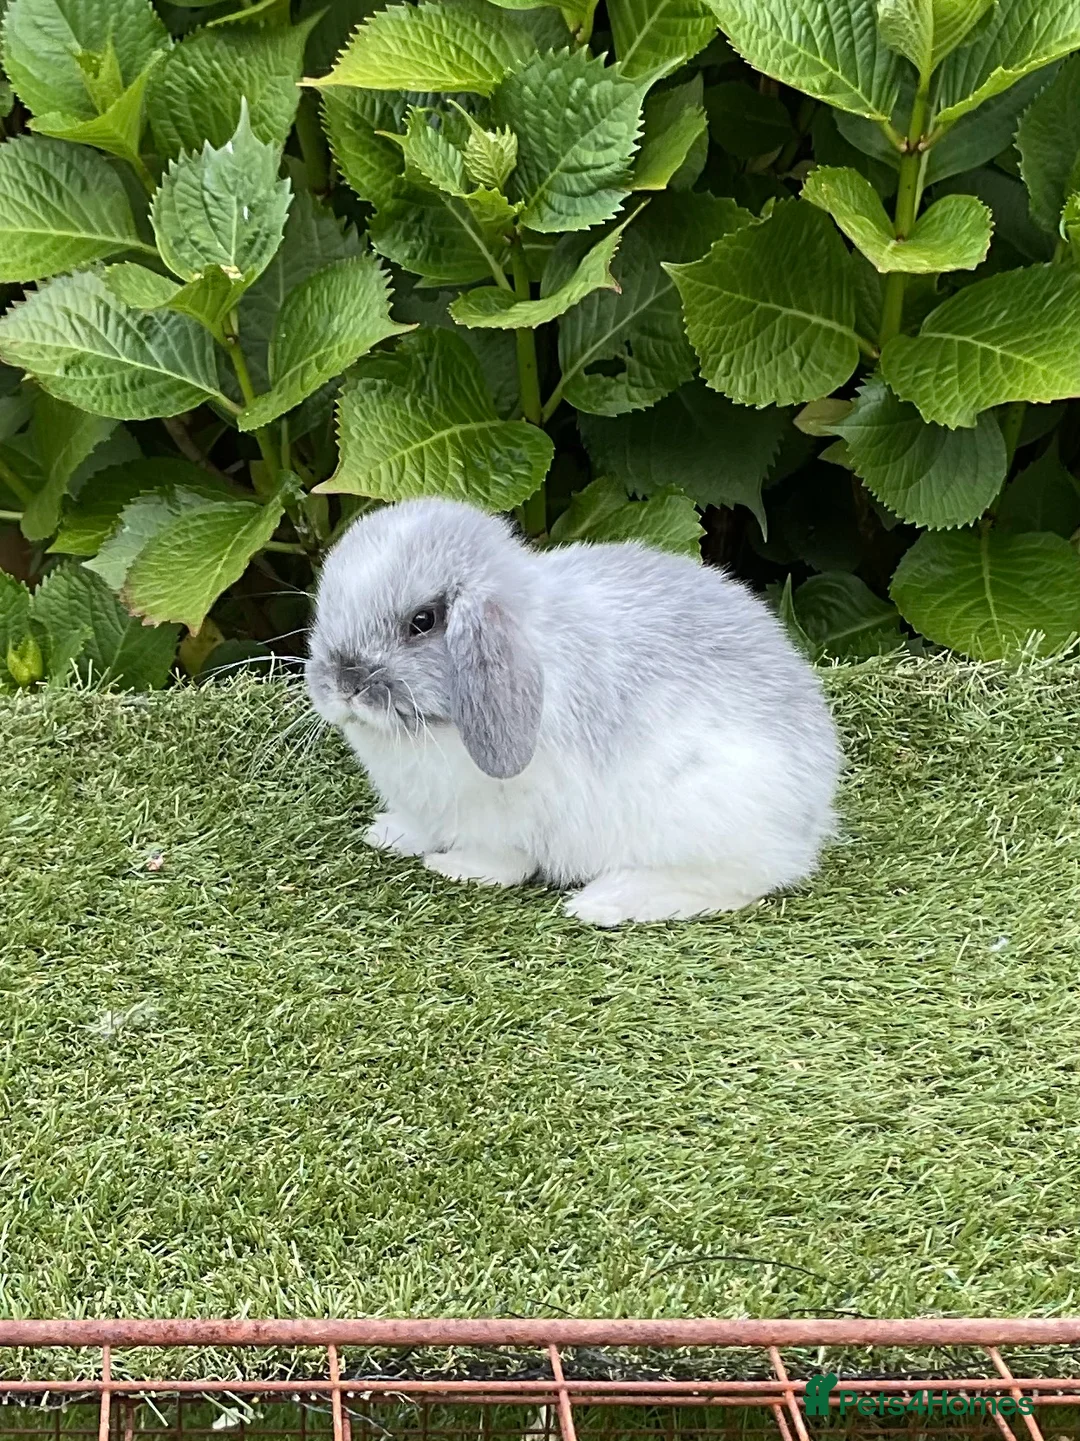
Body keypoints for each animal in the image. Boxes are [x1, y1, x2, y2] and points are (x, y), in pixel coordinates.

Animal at [305, 497, 842, 926]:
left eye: (423, 621)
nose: (344, 681)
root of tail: (810, 813)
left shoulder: (511, 815)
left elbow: (502, 857)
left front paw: (456, 867)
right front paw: (387, 834)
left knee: (739, 882)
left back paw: (608, 901)